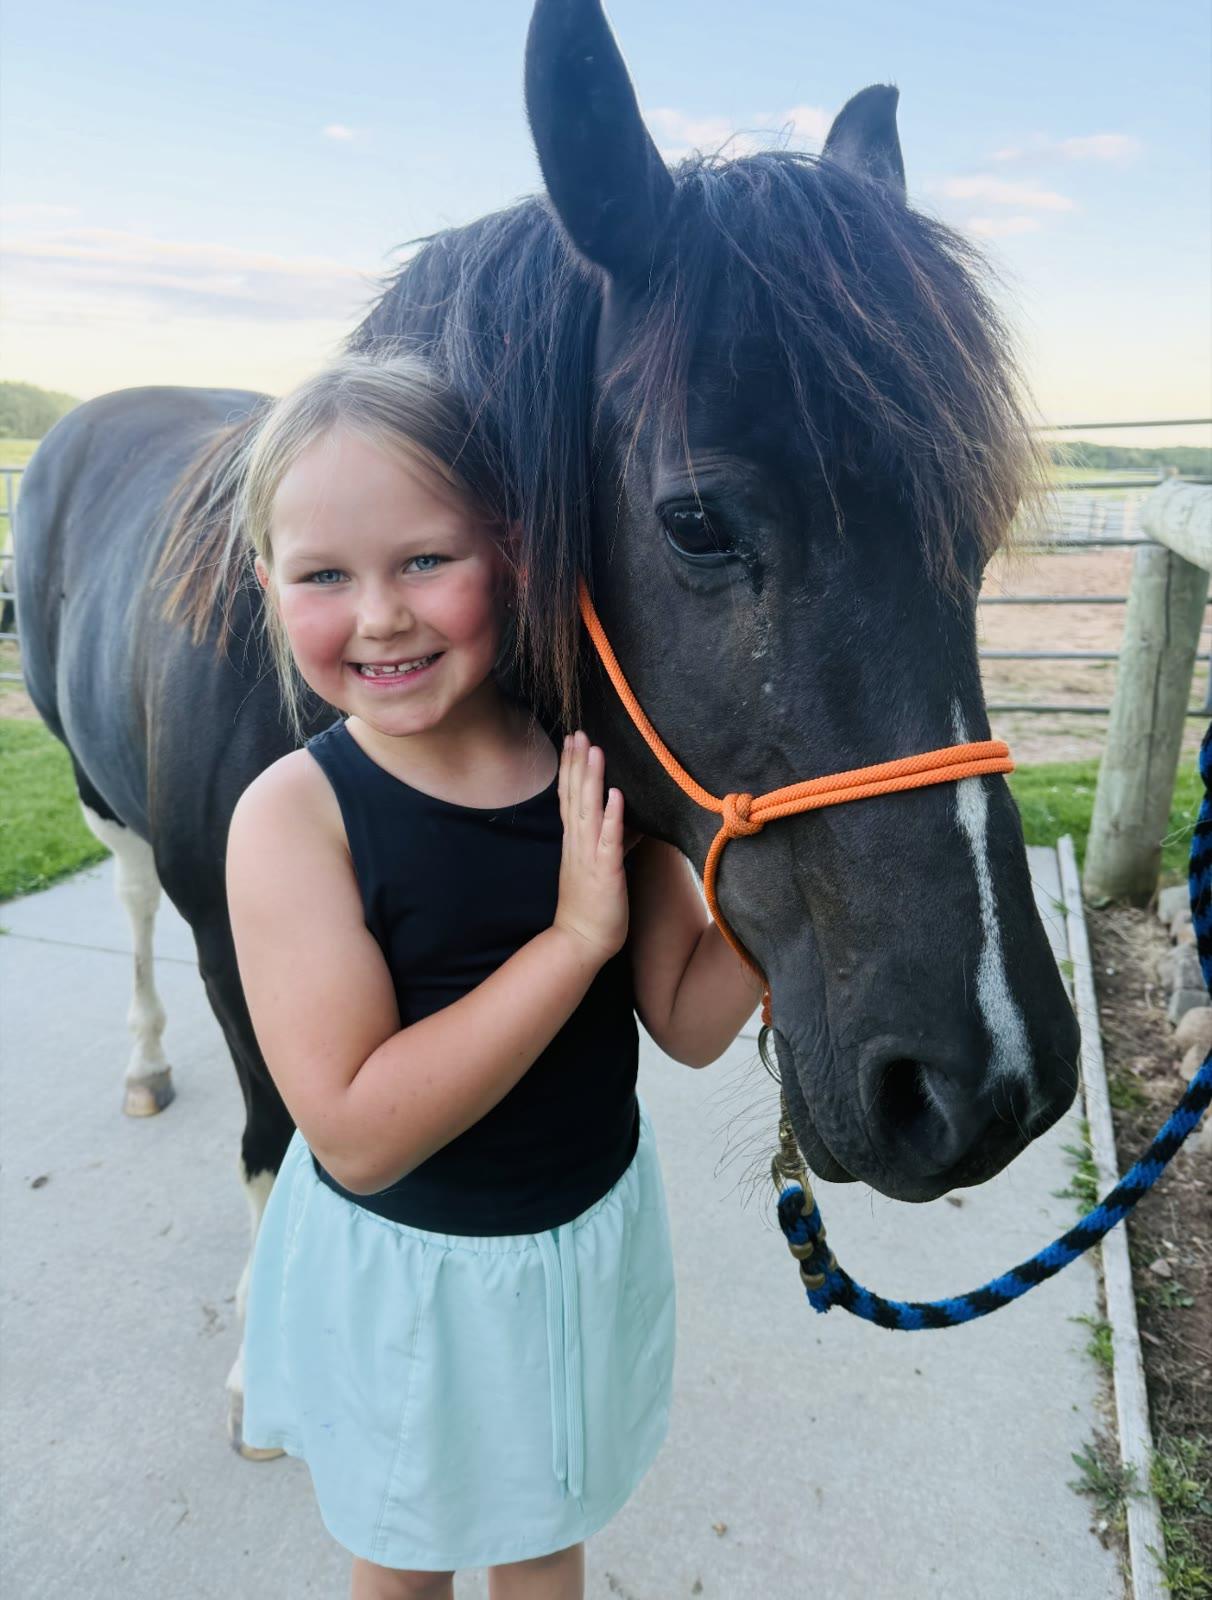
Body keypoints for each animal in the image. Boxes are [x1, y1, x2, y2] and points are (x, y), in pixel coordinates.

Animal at [15, 0, 1079, 1446]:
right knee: (126, 909)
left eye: (977, 534)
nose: (992, 1080)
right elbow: (276, 1137)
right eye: (697, 519)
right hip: (95, 793)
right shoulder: (239, 950)